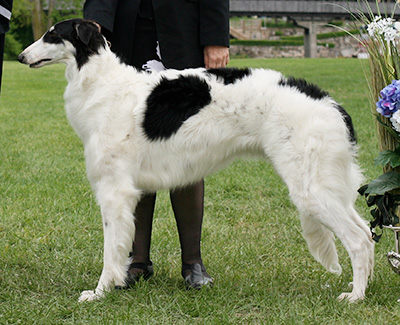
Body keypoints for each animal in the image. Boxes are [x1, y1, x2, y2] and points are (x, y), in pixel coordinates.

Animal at [18, 18, 376, 302]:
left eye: (52, 35)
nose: (21, 56)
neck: (103, 83)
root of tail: (331, 103)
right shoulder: (133, 188)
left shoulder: (114, 191)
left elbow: (111, 252)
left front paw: (99, 293)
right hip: (325, 186)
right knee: (368, 233)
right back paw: (360, 288)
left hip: (310, 189)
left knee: (359, 240)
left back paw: (356, 297)